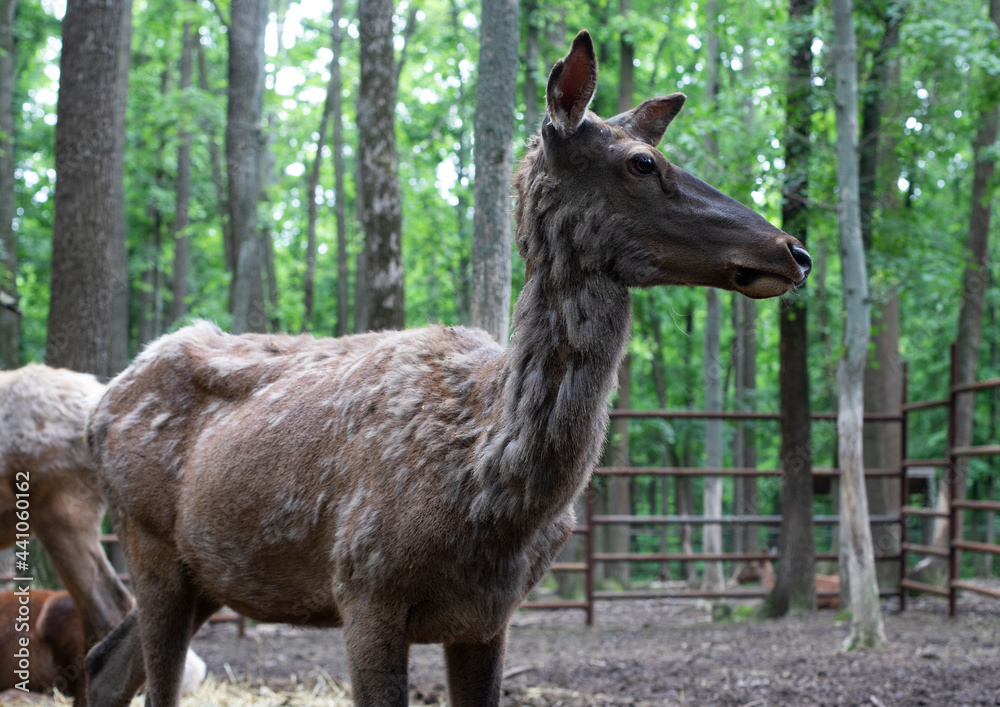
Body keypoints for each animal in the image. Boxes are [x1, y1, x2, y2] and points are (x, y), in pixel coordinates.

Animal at [84, 30, 811, 707]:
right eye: (642, 162)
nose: (794, 251)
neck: (488, 485)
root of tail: (98, 411)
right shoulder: (364, 586)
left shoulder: (488, 616)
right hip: (149, 541)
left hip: (207, 570)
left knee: (103, 665)